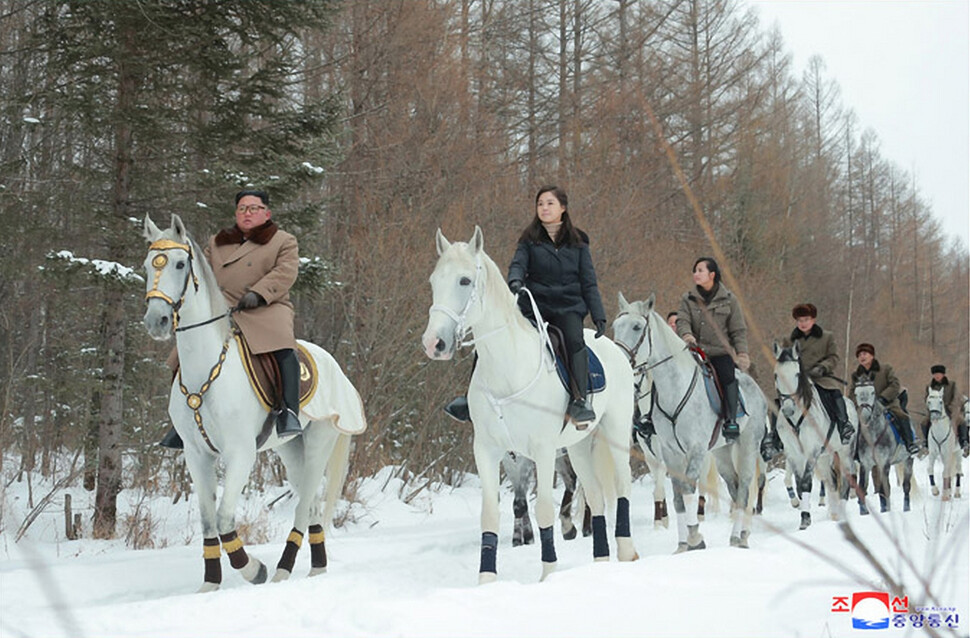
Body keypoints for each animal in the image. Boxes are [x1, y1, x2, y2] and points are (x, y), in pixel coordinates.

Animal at [144, 216, 366, 596]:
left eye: (179, 264)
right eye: (147, 265)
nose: (155, 321)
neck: (206, 368)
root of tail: (332, 363)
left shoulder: (240, 453)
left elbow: (223, 518)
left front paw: (253, 570)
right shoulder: (196, 455)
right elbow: (208, 521)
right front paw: (210, 585)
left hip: (318, 442)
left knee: (304, 506)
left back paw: (281, 571)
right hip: (291, 450)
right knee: (312, 505)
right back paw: (316, 569)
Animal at [422, 229, 636, 584]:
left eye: (465, 280)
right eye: (434, 280)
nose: (433, 344)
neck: (508, 368)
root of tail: (615, 349)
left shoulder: (543, 450)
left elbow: (545, 509)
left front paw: (548, 574)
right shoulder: (487, 450)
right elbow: (490, 515)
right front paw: (486, 580)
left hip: (615, 433)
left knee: (621, 486)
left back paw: (627, 551)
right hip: (578, 446)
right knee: (594, 496)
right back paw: (601, 561)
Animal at [612, 294, 764, 552]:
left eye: (636, 327)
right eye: (615, 326)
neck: (675, 388)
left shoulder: (696, 450)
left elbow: (689, 490)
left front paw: (695, 538)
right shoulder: (670, 453)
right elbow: (677, 497)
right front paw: (683, 543)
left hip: (747, 447)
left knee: (744, 489)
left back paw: (740, 537)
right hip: (722, 454)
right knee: (734, 489)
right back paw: (739, 535)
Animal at [772, 342, 856, 532]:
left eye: (797, 374)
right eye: (776, 375)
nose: (788, 409)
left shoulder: (812, 452)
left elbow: (805, 483)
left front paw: (805, 519)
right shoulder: (794, 453)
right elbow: (799, 484)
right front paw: (803, 511)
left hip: (845, 453)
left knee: (846, 480)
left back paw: (842, 515)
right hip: (825, 458)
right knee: (831, 482)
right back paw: (834, 514)